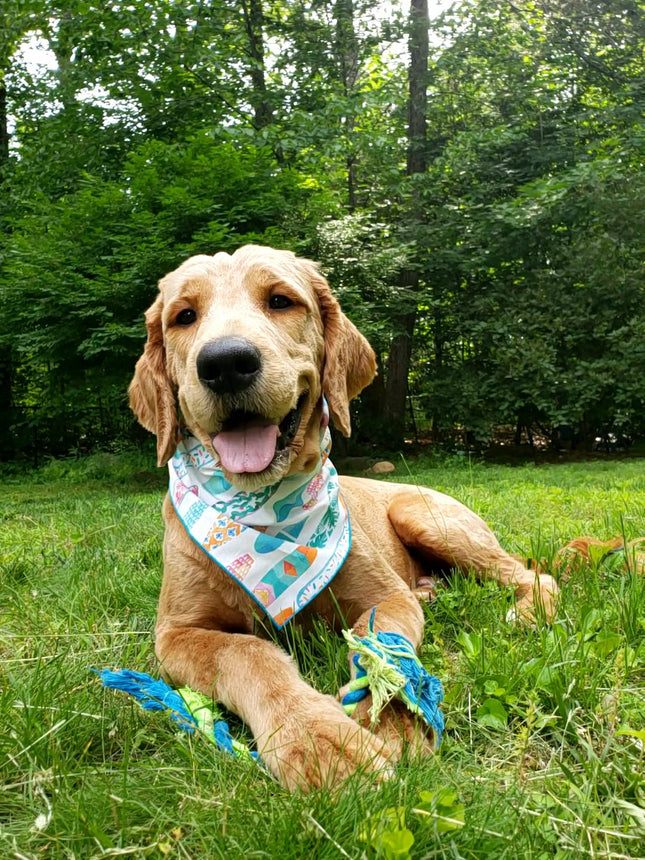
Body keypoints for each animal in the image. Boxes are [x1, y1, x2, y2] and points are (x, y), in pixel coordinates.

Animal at [128, 245, 556, 788]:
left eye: (280, 300)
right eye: (184, 316)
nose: (225, 363)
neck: (263, 512)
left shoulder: (385, 596)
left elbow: (382, 643)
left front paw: (391, 713)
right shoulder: (176, 633)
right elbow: (247, 653)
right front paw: (315, 737)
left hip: (422, 516)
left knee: (530, 574)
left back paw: (527, 612)